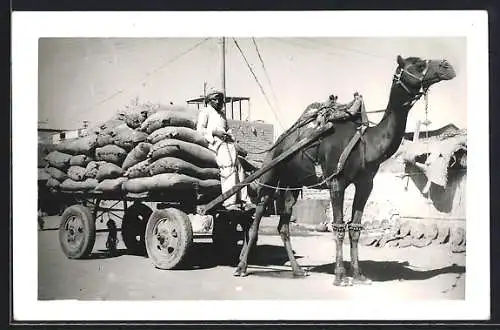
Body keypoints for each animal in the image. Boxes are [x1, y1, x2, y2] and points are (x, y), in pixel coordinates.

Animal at [234, 54, 458, 286]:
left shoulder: (365, 184)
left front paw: (358, 274)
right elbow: (339, 225)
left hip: (292, 184)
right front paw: (340, 275)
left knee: (283, 224)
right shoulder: (336, 182)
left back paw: (297, 270)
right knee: (257, 217)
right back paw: (242, 267)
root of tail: (279, 143)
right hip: (271, 175)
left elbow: (355, 227)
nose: (446, 66)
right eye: (418, 64)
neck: (367, 145)